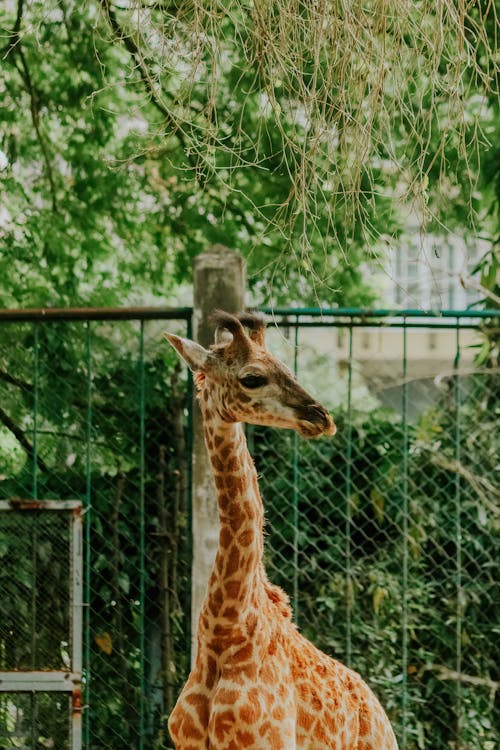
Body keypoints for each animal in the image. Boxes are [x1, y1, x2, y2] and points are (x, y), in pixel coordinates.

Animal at [165, 312, 398, 750]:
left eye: (287, 366)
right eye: (252, 377)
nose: (322, 417)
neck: (225, 631)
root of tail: (378, 712)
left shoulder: (267, 741)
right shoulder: (186, 742)